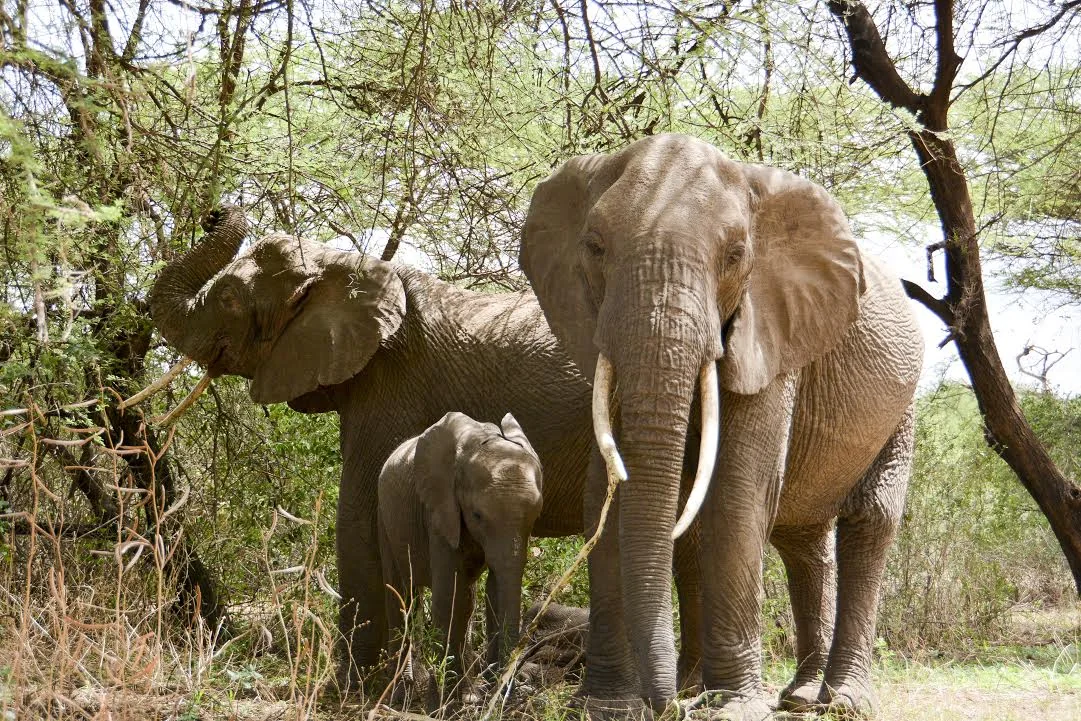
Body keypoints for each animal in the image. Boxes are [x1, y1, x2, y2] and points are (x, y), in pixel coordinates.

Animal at [378, 411, 543, 699]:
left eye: (535, 516)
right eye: (477, 515)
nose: (513, 688)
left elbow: (492, 589)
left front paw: (478, 694)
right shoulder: (440, 511)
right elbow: (448, 593)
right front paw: (445, 701)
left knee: (465, 599)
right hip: (385, 518)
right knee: (402, 594)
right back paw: (401, 691)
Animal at [520, 133, 923, 718]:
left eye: (735, 255)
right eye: (594, 247)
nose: (665, 706)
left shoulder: (773, 333)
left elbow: (736, 490)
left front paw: (731, 706)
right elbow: (607, 491)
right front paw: (608, 707)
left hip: (903, 405)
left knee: (869, 522)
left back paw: (840, 702)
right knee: (801, 540)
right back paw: (790, 697)